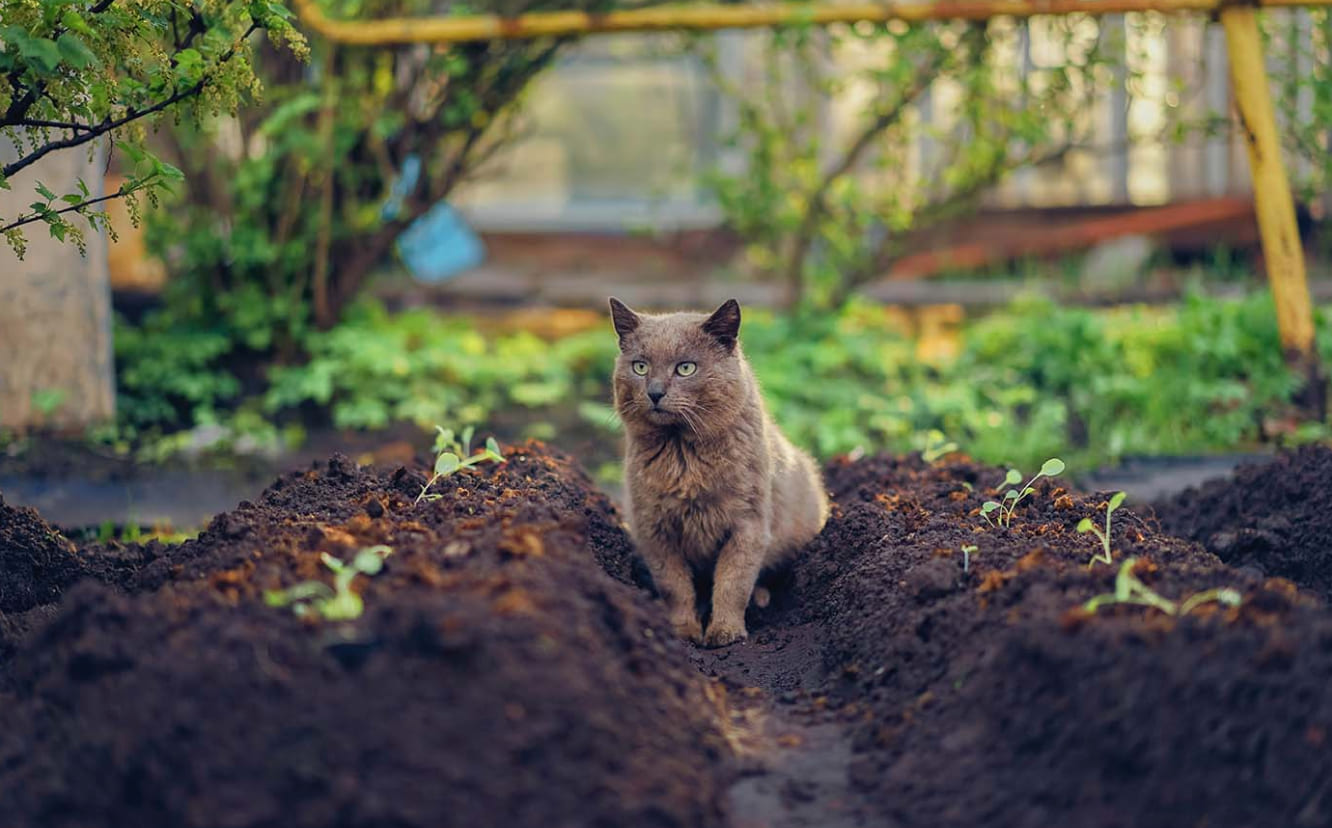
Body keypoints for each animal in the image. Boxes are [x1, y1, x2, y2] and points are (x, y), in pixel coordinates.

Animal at [610, 296, 825, 649]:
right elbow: (674, 586)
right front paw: (684, 631)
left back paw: (761, 599)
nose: (654, 392)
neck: (684, 456)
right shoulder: (653, 528)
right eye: (639, 366)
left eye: (686, 368)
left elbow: (733, 582)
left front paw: (725, 633)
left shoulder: (749, 524)